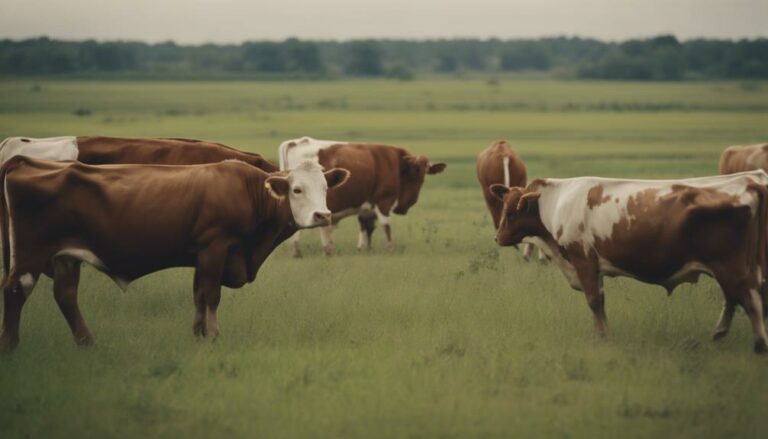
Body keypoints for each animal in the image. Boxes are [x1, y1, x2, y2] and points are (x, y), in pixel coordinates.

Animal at [0, 157, 348, 350]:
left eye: (325, 188)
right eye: (297, 189)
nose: (322, 215)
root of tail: (25, 163)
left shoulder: (201, 256)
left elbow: (198, 296)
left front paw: (198, 335)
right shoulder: (214, 246)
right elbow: (211, 295)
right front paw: (213, 336)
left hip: (65, 257)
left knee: (66, 296)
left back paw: (87, 343)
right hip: (31, 254)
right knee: (16, 290)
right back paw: (11, 345)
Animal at [278, 136, 448, 256]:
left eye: (425, 173)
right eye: (414, 172)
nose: (405, 207)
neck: (395, 163)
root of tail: (297, 142)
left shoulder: (367, 206)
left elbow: (366, 226)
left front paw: (364, 249)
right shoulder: (383, 201)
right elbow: (386, 226)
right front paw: (390, 248)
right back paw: (321, 251)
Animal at [488, 172, 768, 354]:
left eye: (510, 212)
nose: (497, 237)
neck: (556, 203)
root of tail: (749, 181)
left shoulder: (583, 260)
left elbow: (593, 300)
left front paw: (601, 335)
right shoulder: (595, 268)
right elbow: (600, 300)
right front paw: (602, 332)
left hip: (730, 266)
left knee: (749, 298)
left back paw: (758, 344)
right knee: (735, 297)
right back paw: (721, 332)